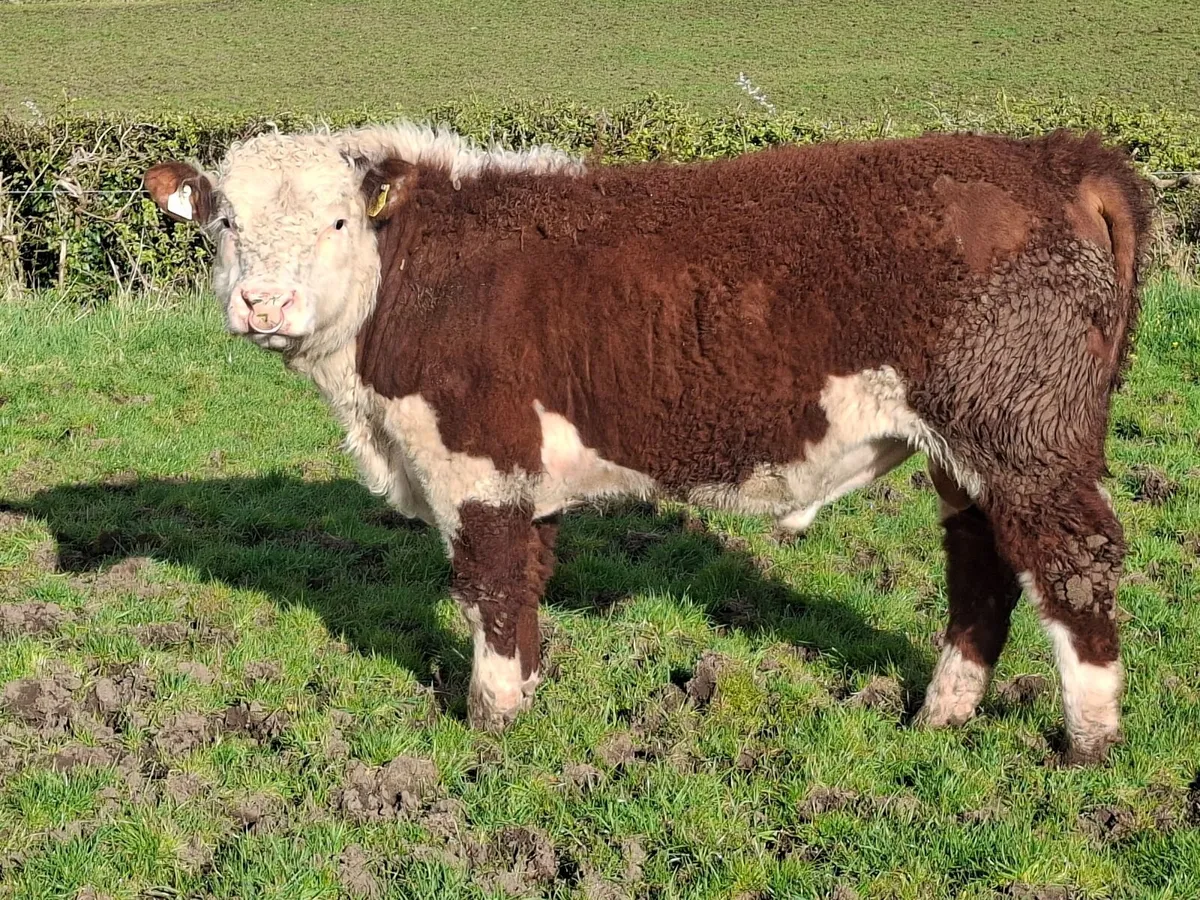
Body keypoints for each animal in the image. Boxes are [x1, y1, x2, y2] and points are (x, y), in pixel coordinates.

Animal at [144, 121, 1151, 763]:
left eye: (338, 220)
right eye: (226, 222)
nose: (263, 304)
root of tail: (1051, 156)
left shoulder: (478, 461)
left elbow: (490, 587)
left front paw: (490, 723)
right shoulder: (524, 472)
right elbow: (525, 584)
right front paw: (525, 696)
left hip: (1022, 432)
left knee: (1074, 560)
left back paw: (1089, 743)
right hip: (969, 451)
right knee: (983, 564)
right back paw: (941, 716)